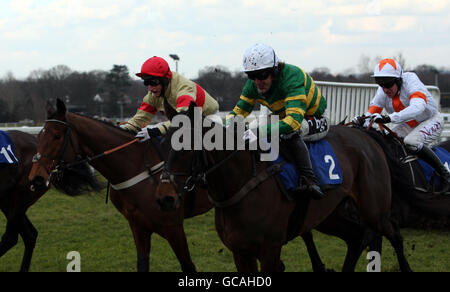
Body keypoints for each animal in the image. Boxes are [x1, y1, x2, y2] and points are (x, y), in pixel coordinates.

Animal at [28, 98, 213, 272]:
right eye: (39, 136)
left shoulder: (173, 226)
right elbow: (142, 264)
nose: (36, 178)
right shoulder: (138, 225)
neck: (137, 167)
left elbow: (188, 265)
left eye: (57, 136)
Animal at [155, 102, 412, 272]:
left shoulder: (270, 249)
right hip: (329, 214)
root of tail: (365, 134)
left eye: (186, 146)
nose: (164, 198)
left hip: (374, 209)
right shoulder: (240, 252)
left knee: (394, 234)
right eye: (164, 143)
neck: (242, 182)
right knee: (357, 237)